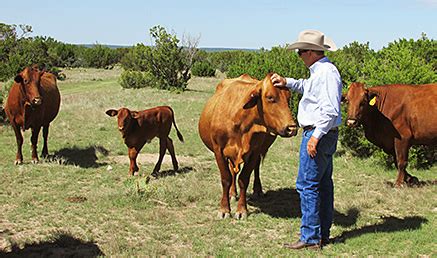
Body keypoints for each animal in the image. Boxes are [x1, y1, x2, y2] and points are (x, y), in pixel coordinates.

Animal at [198, 73, 296, 219]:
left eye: (288, 98)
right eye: (270, 97)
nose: (292, 128)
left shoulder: (254, 151)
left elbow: (244, 179)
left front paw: (241, 210)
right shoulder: (218, 150)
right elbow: (226, 178)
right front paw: (224, 209)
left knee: (255, 168)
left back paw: (257, 190)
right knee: (232, 172)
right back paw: (232, 193)